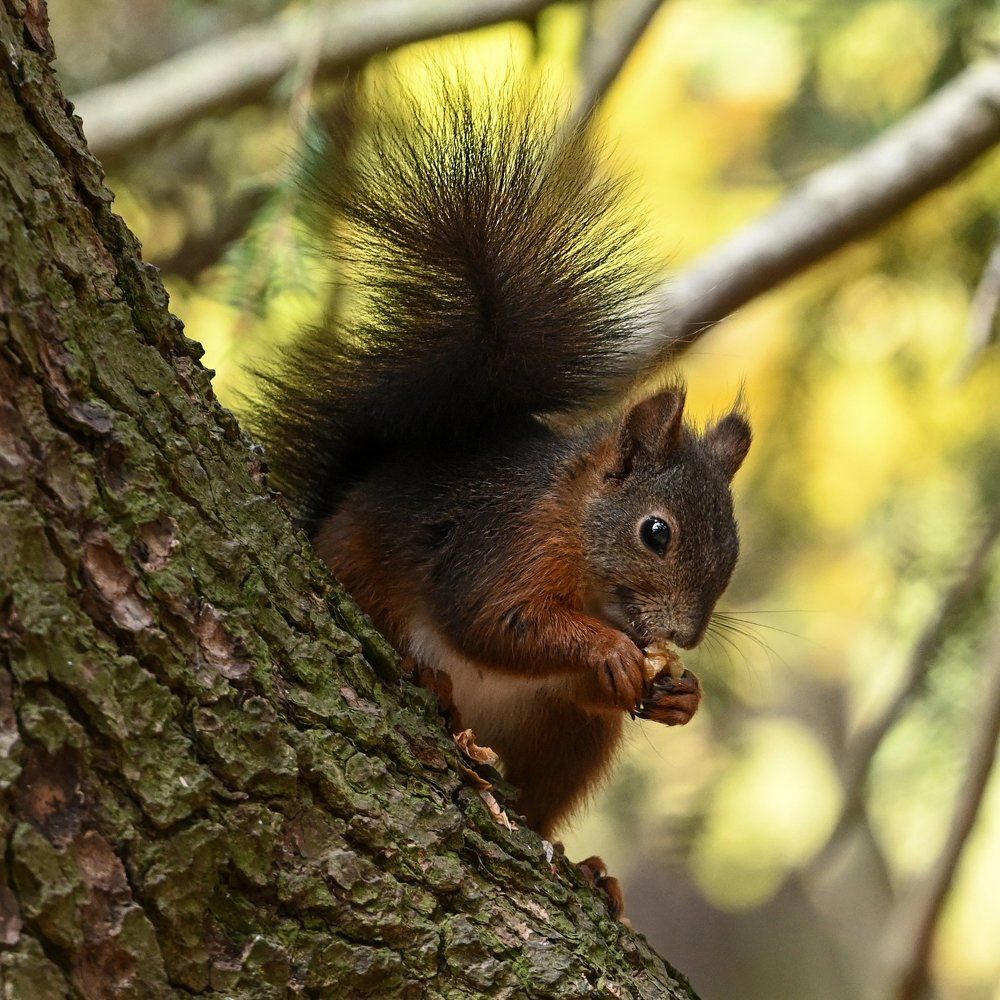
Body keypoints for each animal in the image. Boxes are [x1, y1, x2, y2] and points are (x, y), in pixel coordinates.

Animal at [252, 79, 751, 878]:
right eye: (656, 533)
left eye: (734, 550)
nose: (685, 636)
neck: (574, 533)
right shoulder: (496, 546)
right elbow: (491, 619)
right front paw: (613, 653)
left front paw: (681, 695)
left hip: (565, 739)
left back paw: (581, 864)